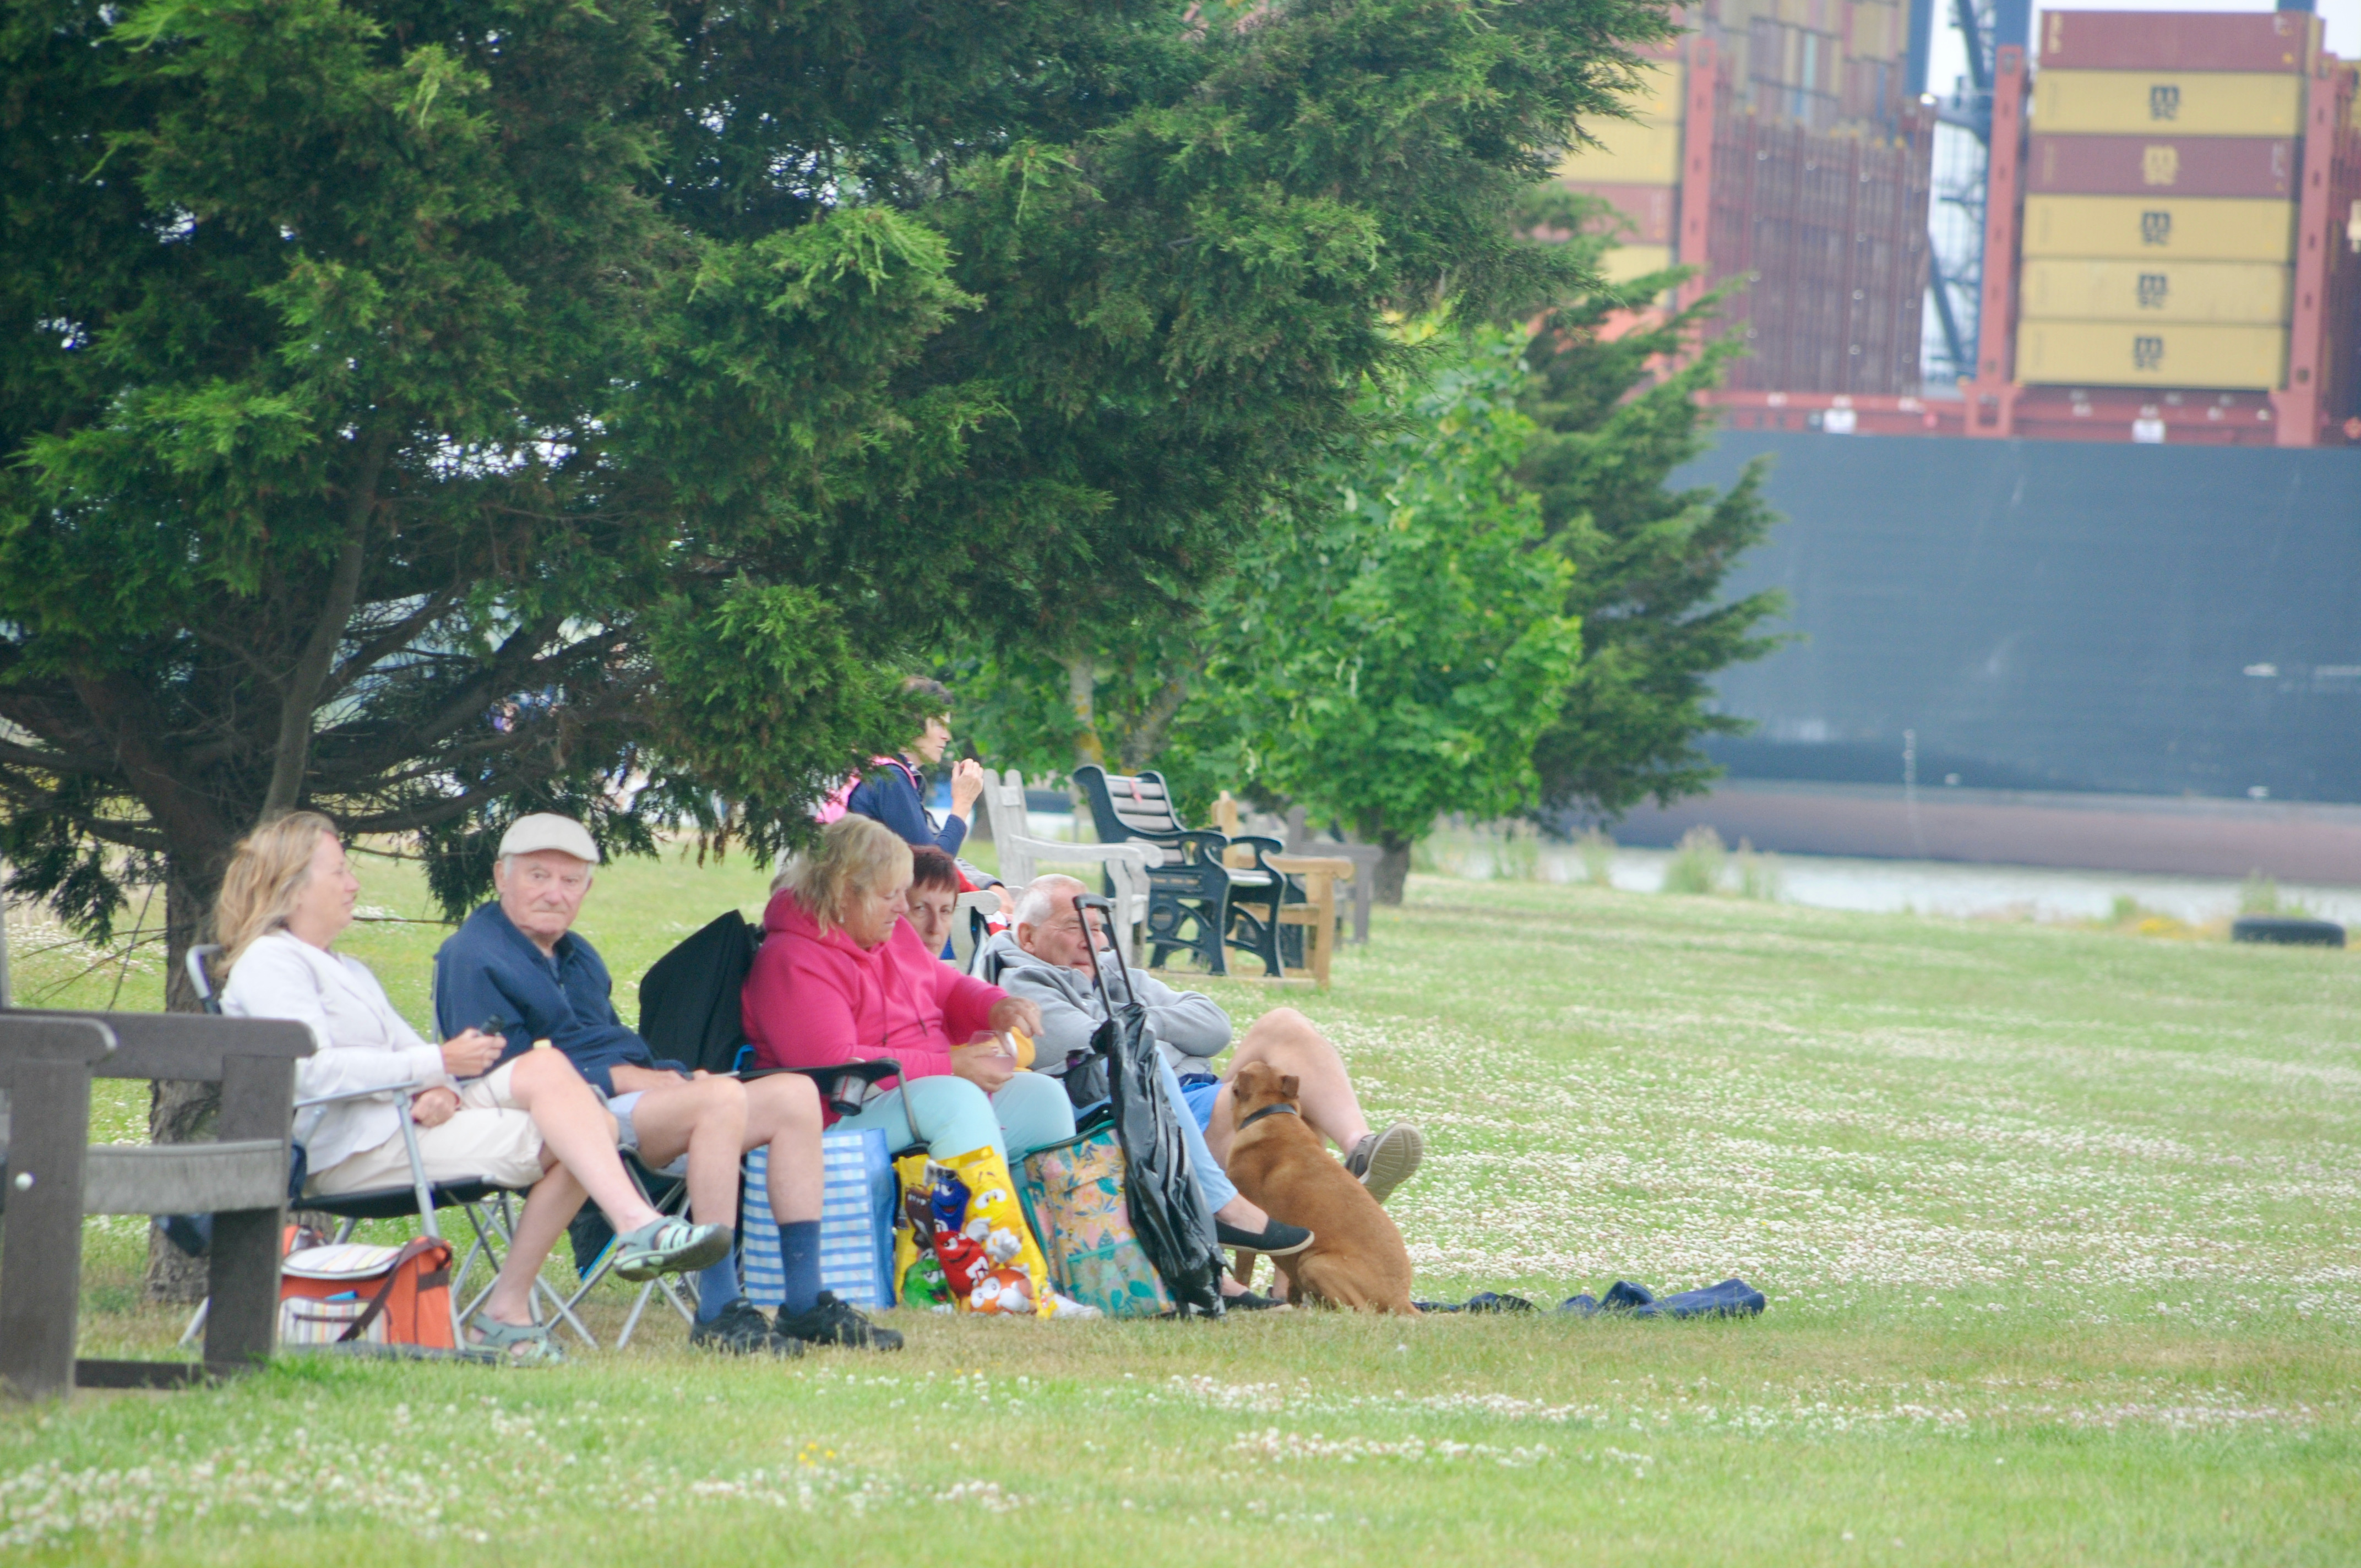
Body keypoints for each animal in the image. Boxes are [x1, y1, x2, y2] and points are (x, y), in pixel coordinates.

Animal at [1227, 1067, 1407, 1313]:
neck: (1271, 1112)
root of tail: (1400, 1300)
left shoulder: (1249, 1232)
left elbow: (1243, 1274)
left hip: (1314, 1263)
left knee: (1357, 1310)